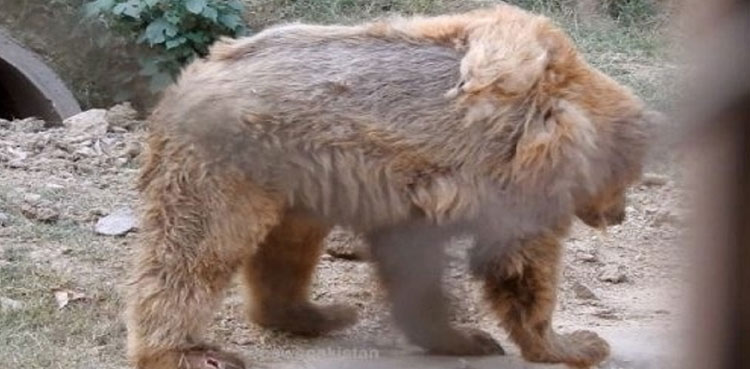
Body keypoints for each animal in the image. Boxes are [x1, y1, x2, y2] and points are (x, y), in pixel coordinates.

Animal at [126, 3, 656, 368]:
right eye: (628, 177)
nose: (619, 214)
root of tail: (190, 76)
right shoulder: (517, 172)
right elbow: (521, 262)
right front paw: (574, 342)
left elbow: (413, 265)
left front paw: (462, 336)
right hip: (225, 165)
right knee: (195, 253)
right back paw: (184, 350)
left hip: (295, 172)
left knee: (287, 248)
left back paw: (317, 312)